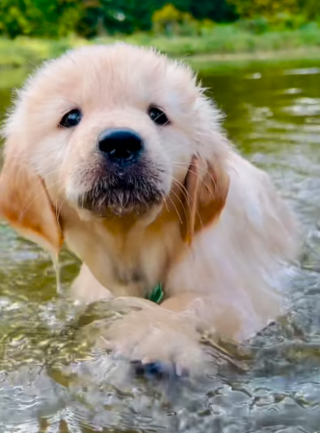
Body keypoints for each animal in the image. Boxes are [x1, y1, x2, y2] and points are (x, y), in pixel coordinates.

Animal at [0, 44, 298, 372]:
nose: (120, 142)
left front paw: (152, 334)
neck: (135, 246)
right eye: (71, 117)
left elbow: (191, 302)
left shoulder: (249, 299)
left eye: (157, 114)